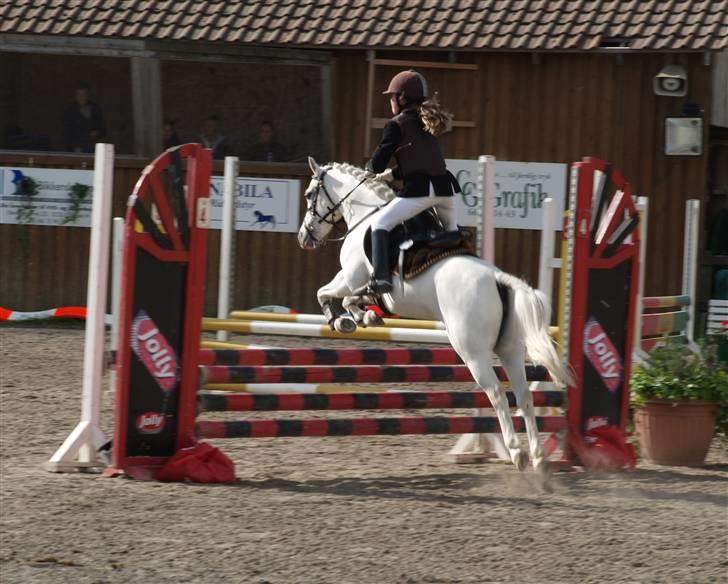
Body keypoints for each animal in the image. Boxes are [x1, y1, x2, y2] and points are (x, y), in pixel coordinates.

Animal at [298, 157, 572, 472]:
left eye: (309, 194)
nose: (304, 237)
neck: (367, 214)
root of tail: (499, 278)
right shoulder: (364, 287)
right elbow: (353, 299)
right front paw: (365, 317)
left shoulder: (350, 278)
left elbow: (324, 293)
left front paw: (340, 321)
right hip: (510, 349)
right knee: (525, 396)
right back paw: (538, 456)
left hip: (472, 352)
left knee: (497, 394)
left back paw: (517, 452)